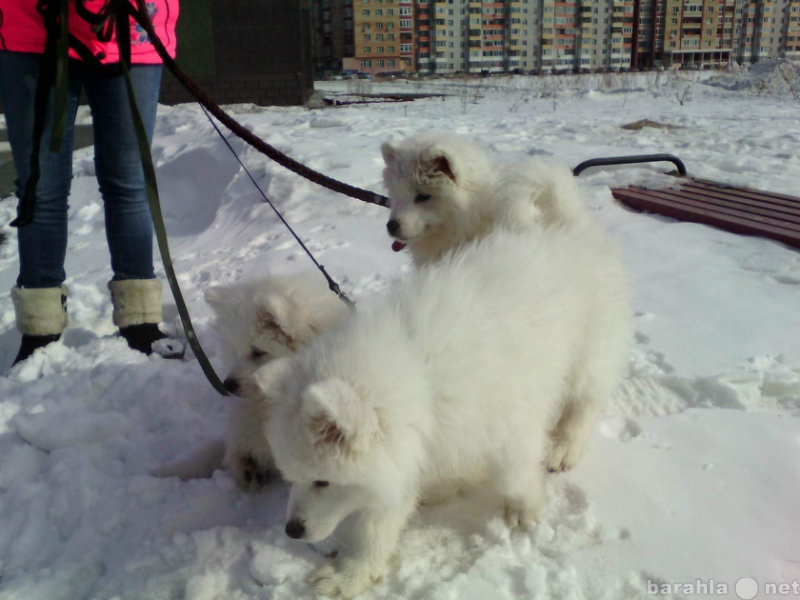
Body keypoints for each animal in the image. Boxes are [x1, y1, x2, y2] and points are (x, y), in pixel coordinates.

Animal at [233, 224, 632, 596]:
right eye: (291, 477)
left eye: (323, 481)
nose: (292, 530)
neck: (420, 378)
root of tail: (572, 231)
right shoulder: (405, 455)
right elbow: (374, 528)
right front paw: (351, 574)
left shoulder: (507, 424)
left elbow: (513, 476)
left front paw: (526, 509)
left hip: (589, 353)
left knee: (585, 402)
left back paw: (564, 447)